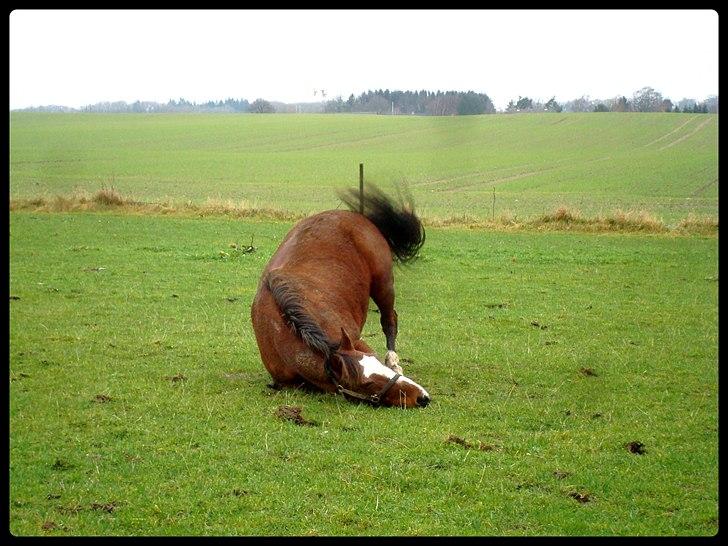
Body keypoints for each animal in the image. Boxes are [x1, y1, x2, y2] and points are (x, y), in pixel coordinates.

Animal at [253, 185, 430, 406]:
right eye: (368, 384)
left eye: (376, 359)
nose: (422, 396)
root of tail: (356, 216)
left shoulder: (354, 340)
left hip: (384, 285)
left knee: (389, 320)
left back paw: (394, 360)